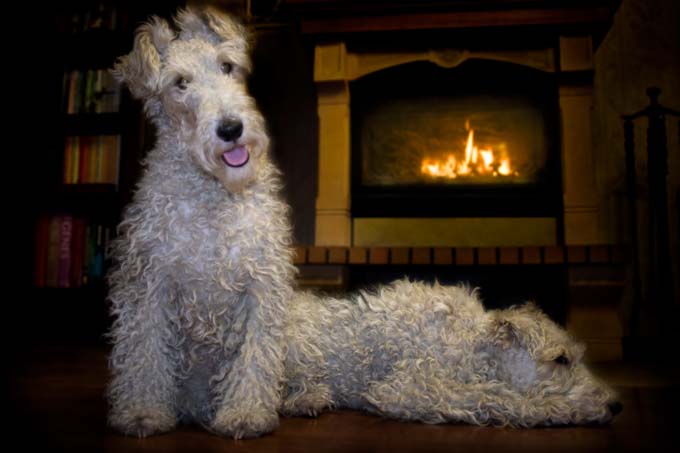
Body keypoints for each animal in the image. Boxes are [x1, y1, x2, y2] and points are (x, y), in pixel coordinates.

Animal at [282, 278, 620, 426]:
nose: (616, 405)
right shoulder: (407, 390)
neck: (468, 343)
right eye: (560, 359)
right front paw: (559, 410)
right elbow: (494, 396)